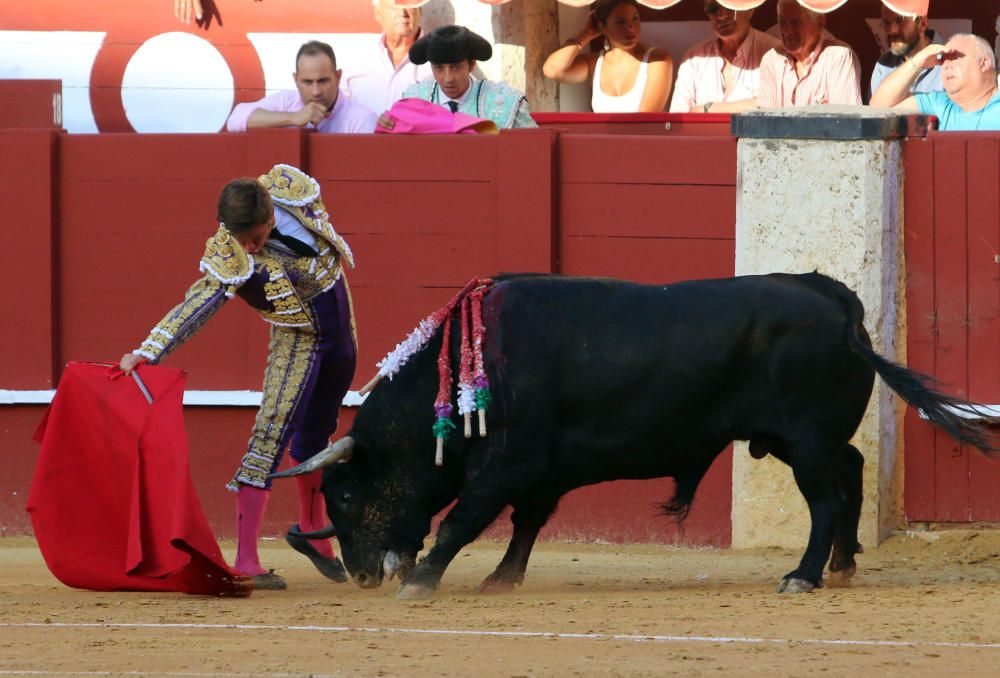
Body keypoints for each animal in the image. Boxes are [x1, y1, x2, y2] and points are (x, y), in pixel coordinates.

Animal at [270, 270, 996, 600]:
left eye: (344, 496)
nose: (364, 576)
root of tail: (831, 294)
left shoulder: (507, 464)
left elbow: (464, 519)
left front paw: (423, 579)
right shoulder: (544, 471)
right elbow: (526, 524)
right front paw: (502, 579)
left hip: (805, 442)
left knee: (826, 499)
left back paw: (803, 575)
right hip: (808, 440)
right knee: (851, 472)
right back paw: (842, 567)